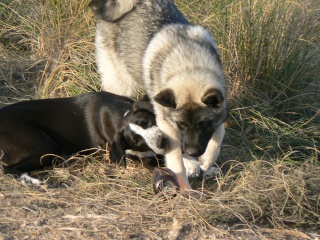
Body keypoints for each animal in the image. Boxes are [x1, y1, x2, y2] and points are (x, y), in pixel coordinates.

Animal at [0, 90, 165, 184]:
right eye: (137, 141)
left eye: (147, 121)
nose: (161, 142)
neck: (121, 117)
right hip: (46, 149)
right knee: (7, 169)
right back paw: (32, 181)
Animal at [90, 0, 228, 191]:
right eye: (181, 124)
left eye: (204, 124)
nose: (192, 152)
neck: (188, 66)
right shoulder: (167, 125)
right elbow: (176, 162)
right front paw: (186, 187)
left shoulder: (220, 110)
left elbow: (218, 138)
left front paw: (207, 162)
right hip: (121, 84)